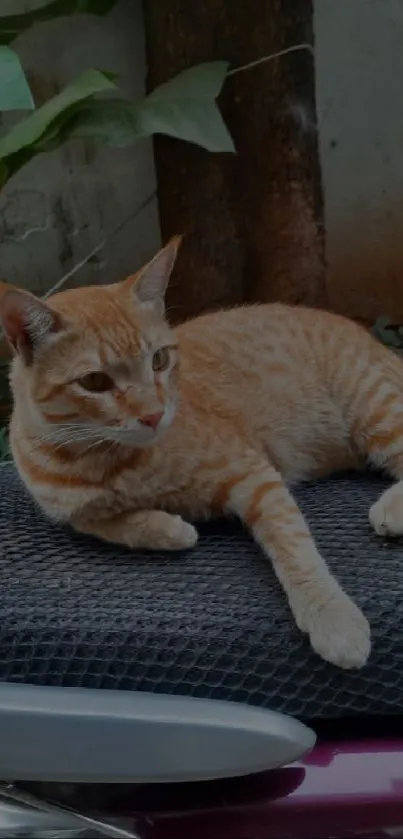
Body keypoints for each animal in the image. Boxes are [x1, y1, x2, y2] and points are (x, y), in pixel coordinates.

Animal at [1, 236, 402, 668]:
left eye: (159, 360)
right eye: (94, 382)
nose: (154, 415)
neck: (99, 460)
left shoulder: (255, 475)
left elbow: (295, 549)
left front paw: (332, 615)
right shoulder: (72, 512)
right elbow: (103, 522)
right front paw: (168, 529)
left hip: (374, 408)